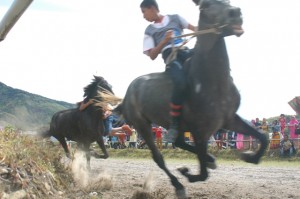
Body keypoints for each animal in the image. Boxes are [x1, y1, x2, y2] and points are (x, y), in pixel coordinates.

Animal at [114, 0, 268, 197]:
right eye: (205, 6)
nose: (235, 13)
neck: (213, 82)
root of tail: (128, 93)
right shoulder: (200, 131)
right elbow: (202, 174)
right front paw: (187, 173)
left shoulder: (229, 119)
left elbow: (263, 137)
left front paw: (250, 156)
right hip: (142, 125)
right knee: (159, 157)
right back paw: (178, 185)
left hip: (173, 124)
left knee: (178, 141)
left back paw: (210, 159)